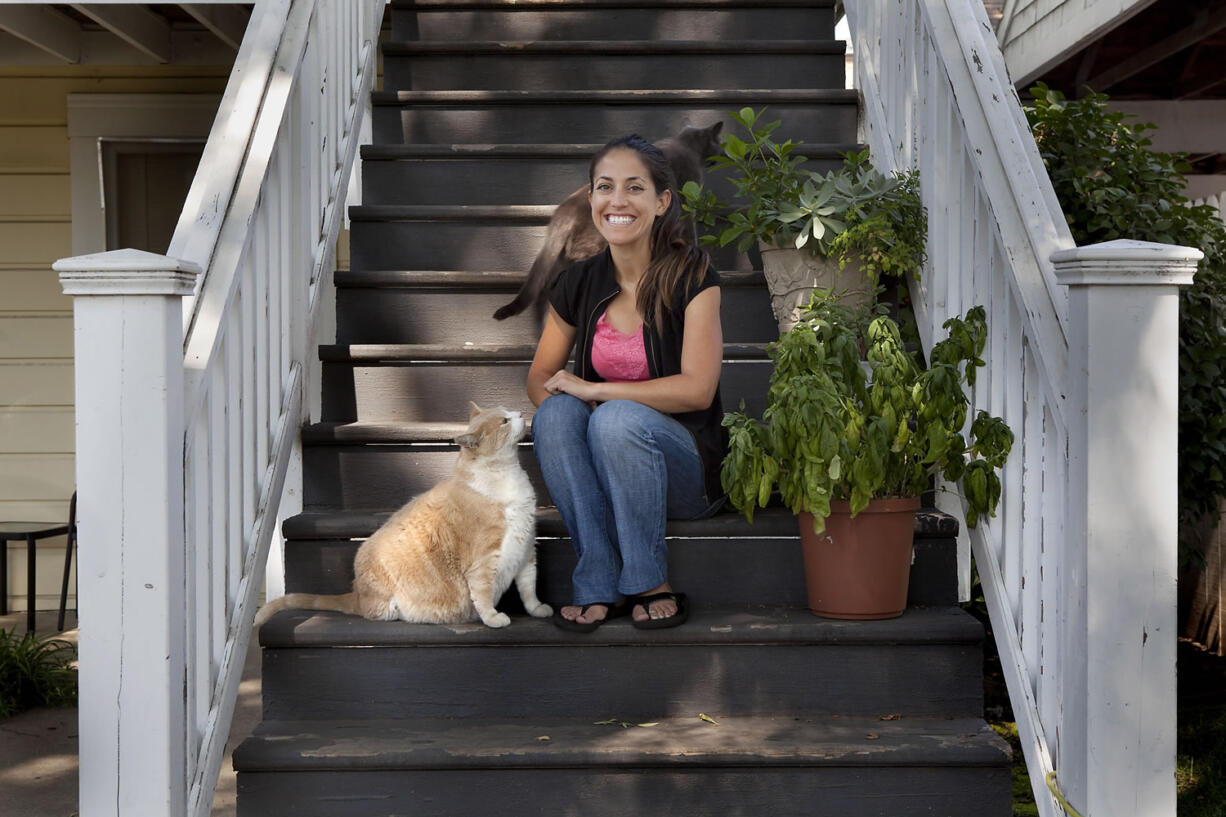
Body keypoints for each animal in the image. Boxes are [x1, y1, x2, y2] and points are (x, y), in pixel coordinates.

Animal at [253, 404, 551, 625]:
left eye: (509, 412)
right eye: (504, 421)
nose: (521, 413)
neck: (505, 476)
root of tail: (356, 593)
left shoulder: (526, 550)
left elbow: (529, 588)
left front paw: (538, 610)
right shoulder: (484, 560)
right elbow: (483, 593)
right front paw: (493, 618)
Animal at [487, 120, 715, 318]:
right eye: (718, 143)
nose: (720, 152)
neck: (685, 143)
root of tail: (563, 211)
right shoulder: (688, 201)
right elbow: (689, 231)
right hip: (597, 241)